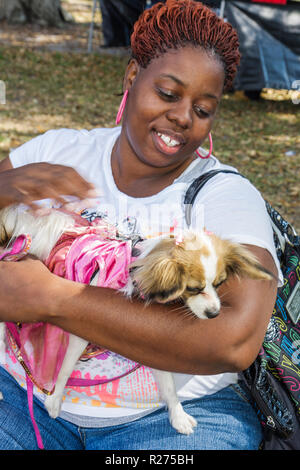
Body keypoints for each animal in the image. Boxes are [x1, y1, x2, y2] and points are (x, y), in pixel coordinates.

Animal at [0, 207, 272, 436]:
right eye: (194, 289)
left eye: (219, 284)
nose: (215, 314)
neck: (133, 266)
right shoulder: (79, 330)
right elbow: (66, 367)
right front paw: (55, 399)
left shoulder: (149, 347)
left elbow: (169, 387)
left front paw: (178, 415)